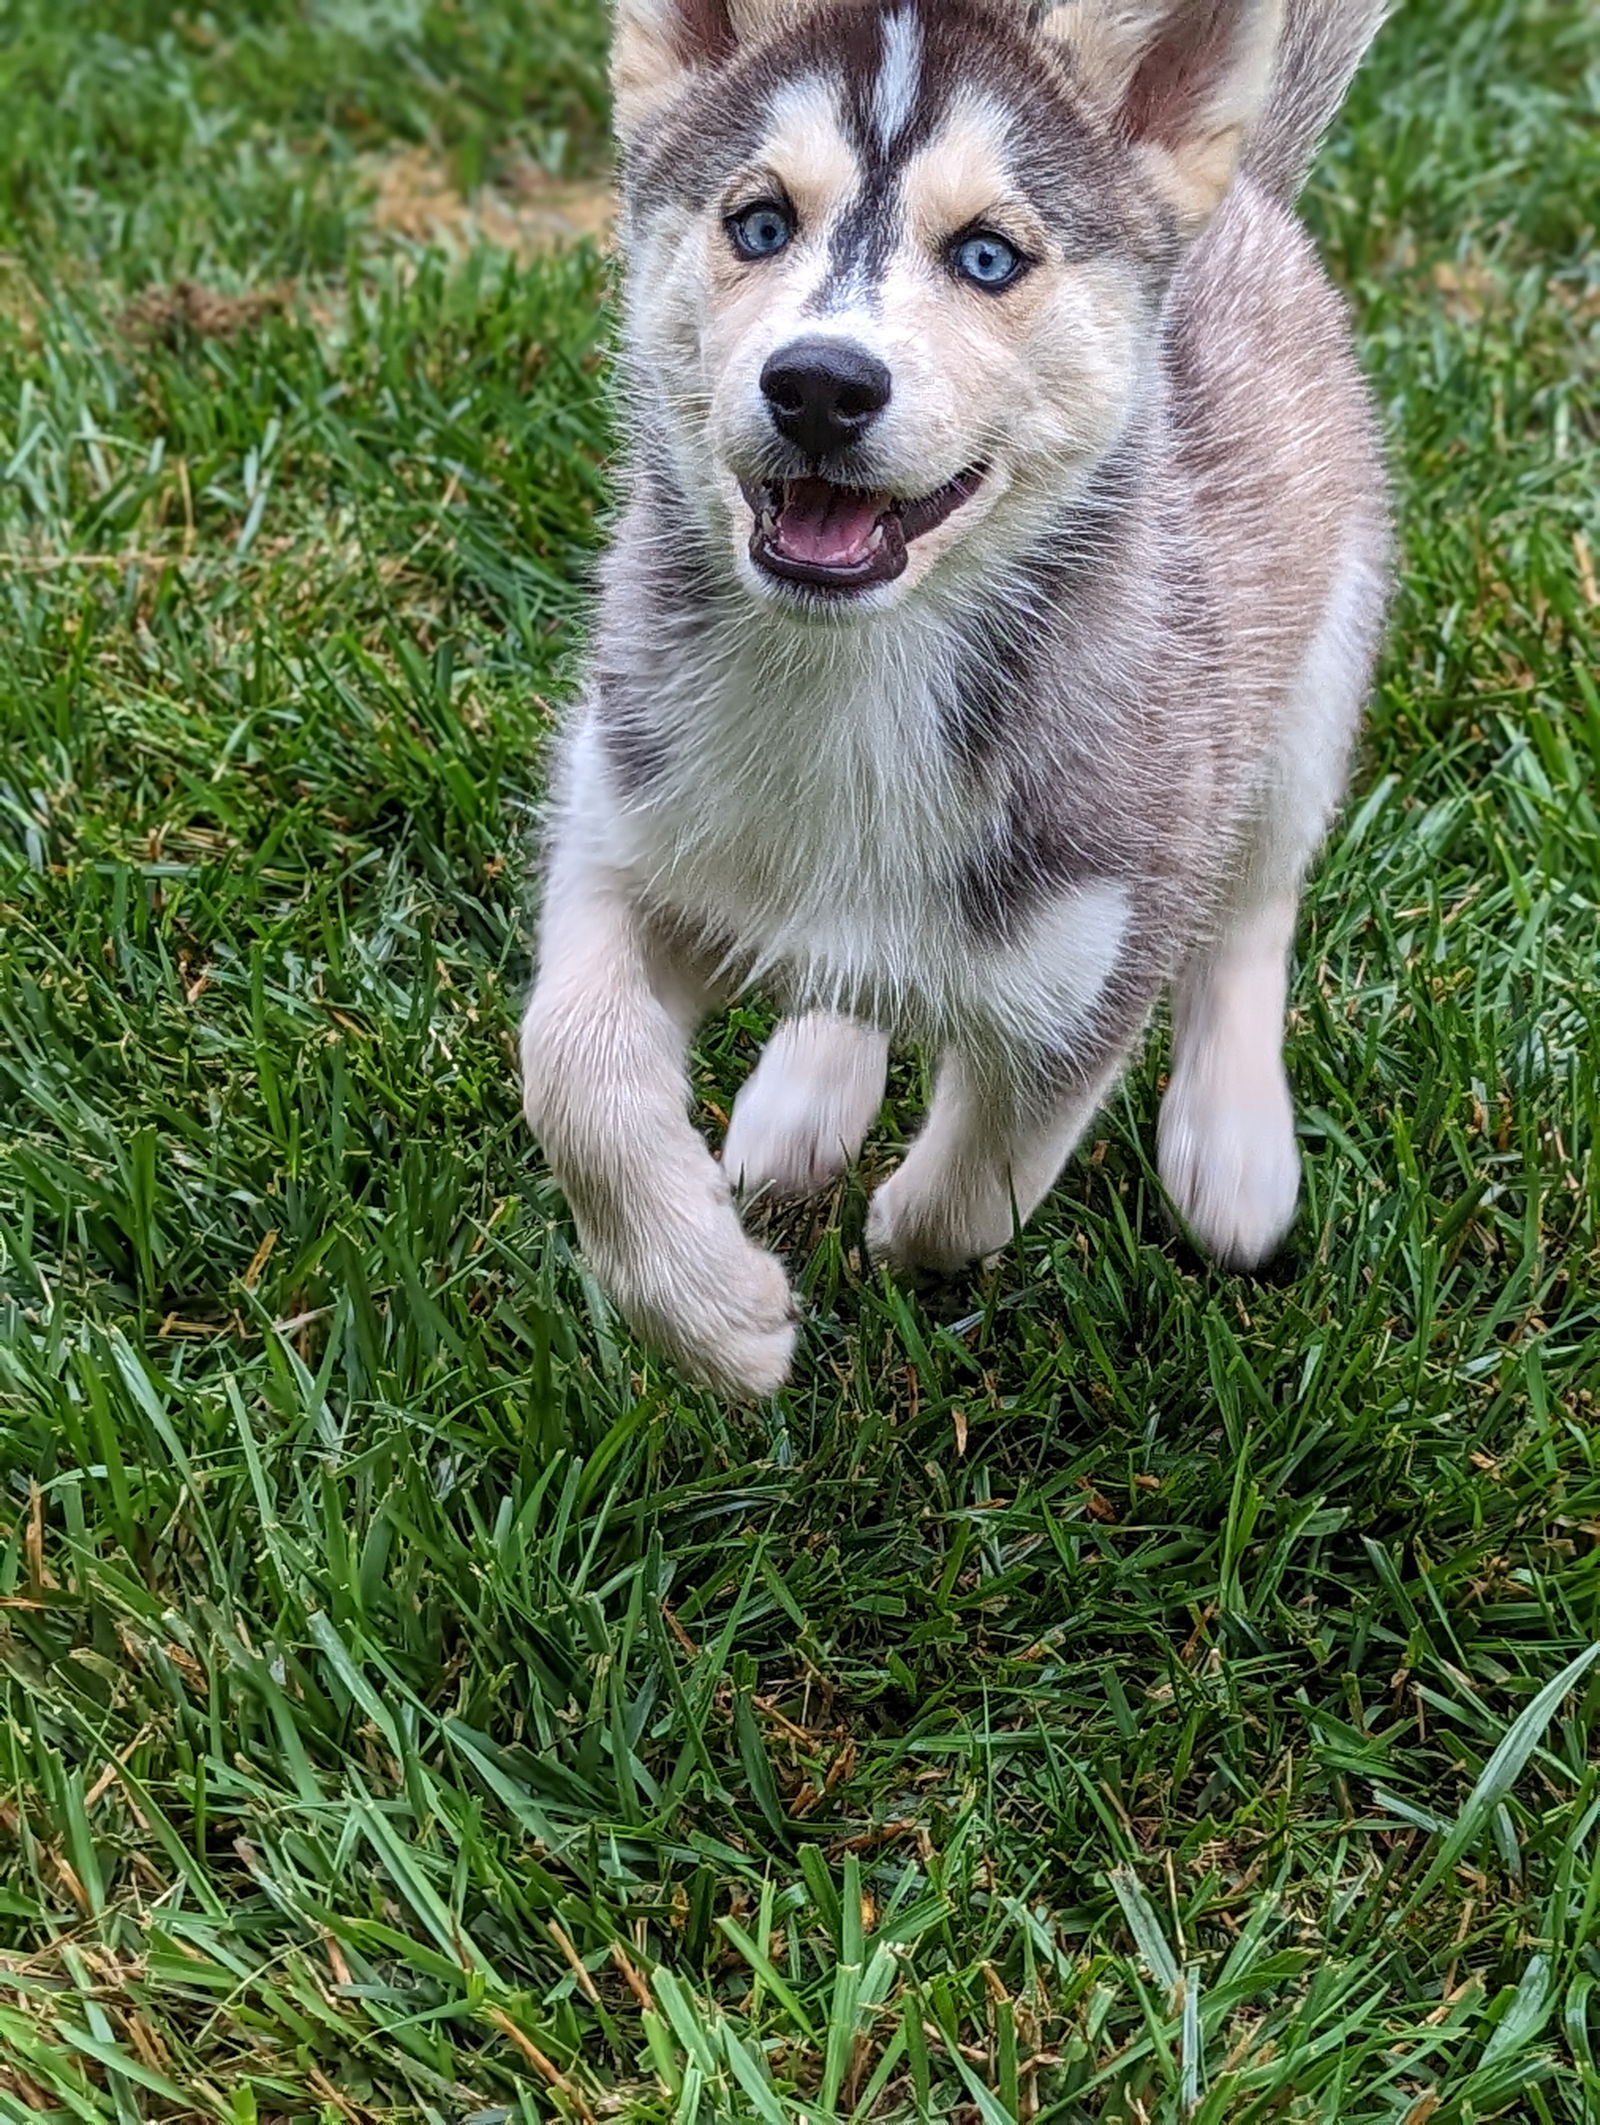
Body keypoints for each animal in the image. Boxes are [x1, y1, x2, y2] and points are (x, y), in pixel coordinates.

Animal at [520, 0, 1385, 1394]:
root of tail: (1247, 200)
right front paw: (711, 1317)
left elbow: (982, 1185)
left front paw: (891, 1238)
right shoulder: (619, 825)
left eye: (986, 256)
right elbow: (567, 1066)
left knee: (1254, 905)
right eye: (759, 223)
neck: (853, 674)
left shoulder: (1097, 958)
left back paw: (1233, 1143)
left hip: (1306, 681)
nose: (819, 383)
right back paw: (808, 1092)